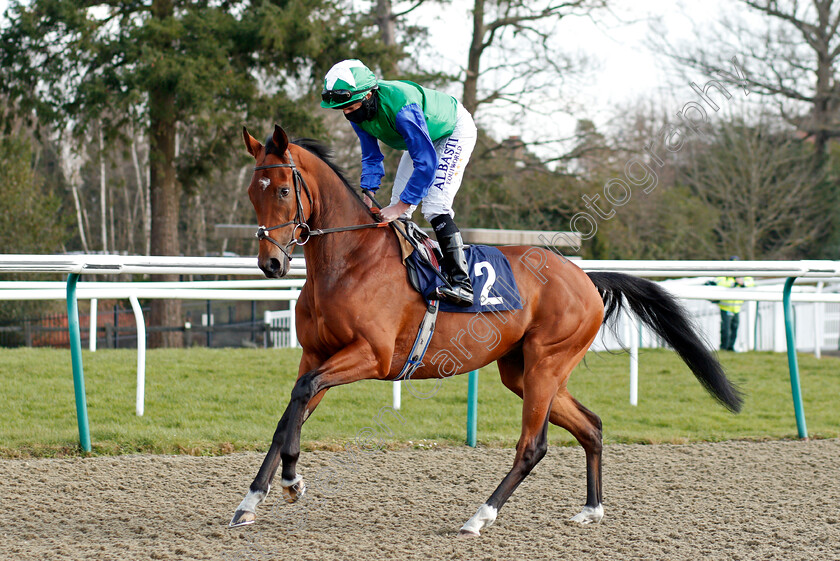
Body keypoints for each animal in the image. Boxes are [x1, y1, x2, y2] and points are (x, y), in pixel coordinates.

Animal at [230, 124, 740, 536]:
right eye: (252, 193)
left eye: (281, 190)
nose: (270, 263)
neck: (350, 261)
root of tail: (586, 278)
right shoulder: (316, 355)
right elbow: (290, 413)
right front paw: (250, 501)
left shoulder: (370, 356)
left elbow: (301, 396)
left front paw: (292, 481)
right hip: (523, 371)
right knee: (591, 426)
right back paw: (591, 510)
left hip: (546, 364)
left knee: (533, 446)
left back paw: (479, 517)